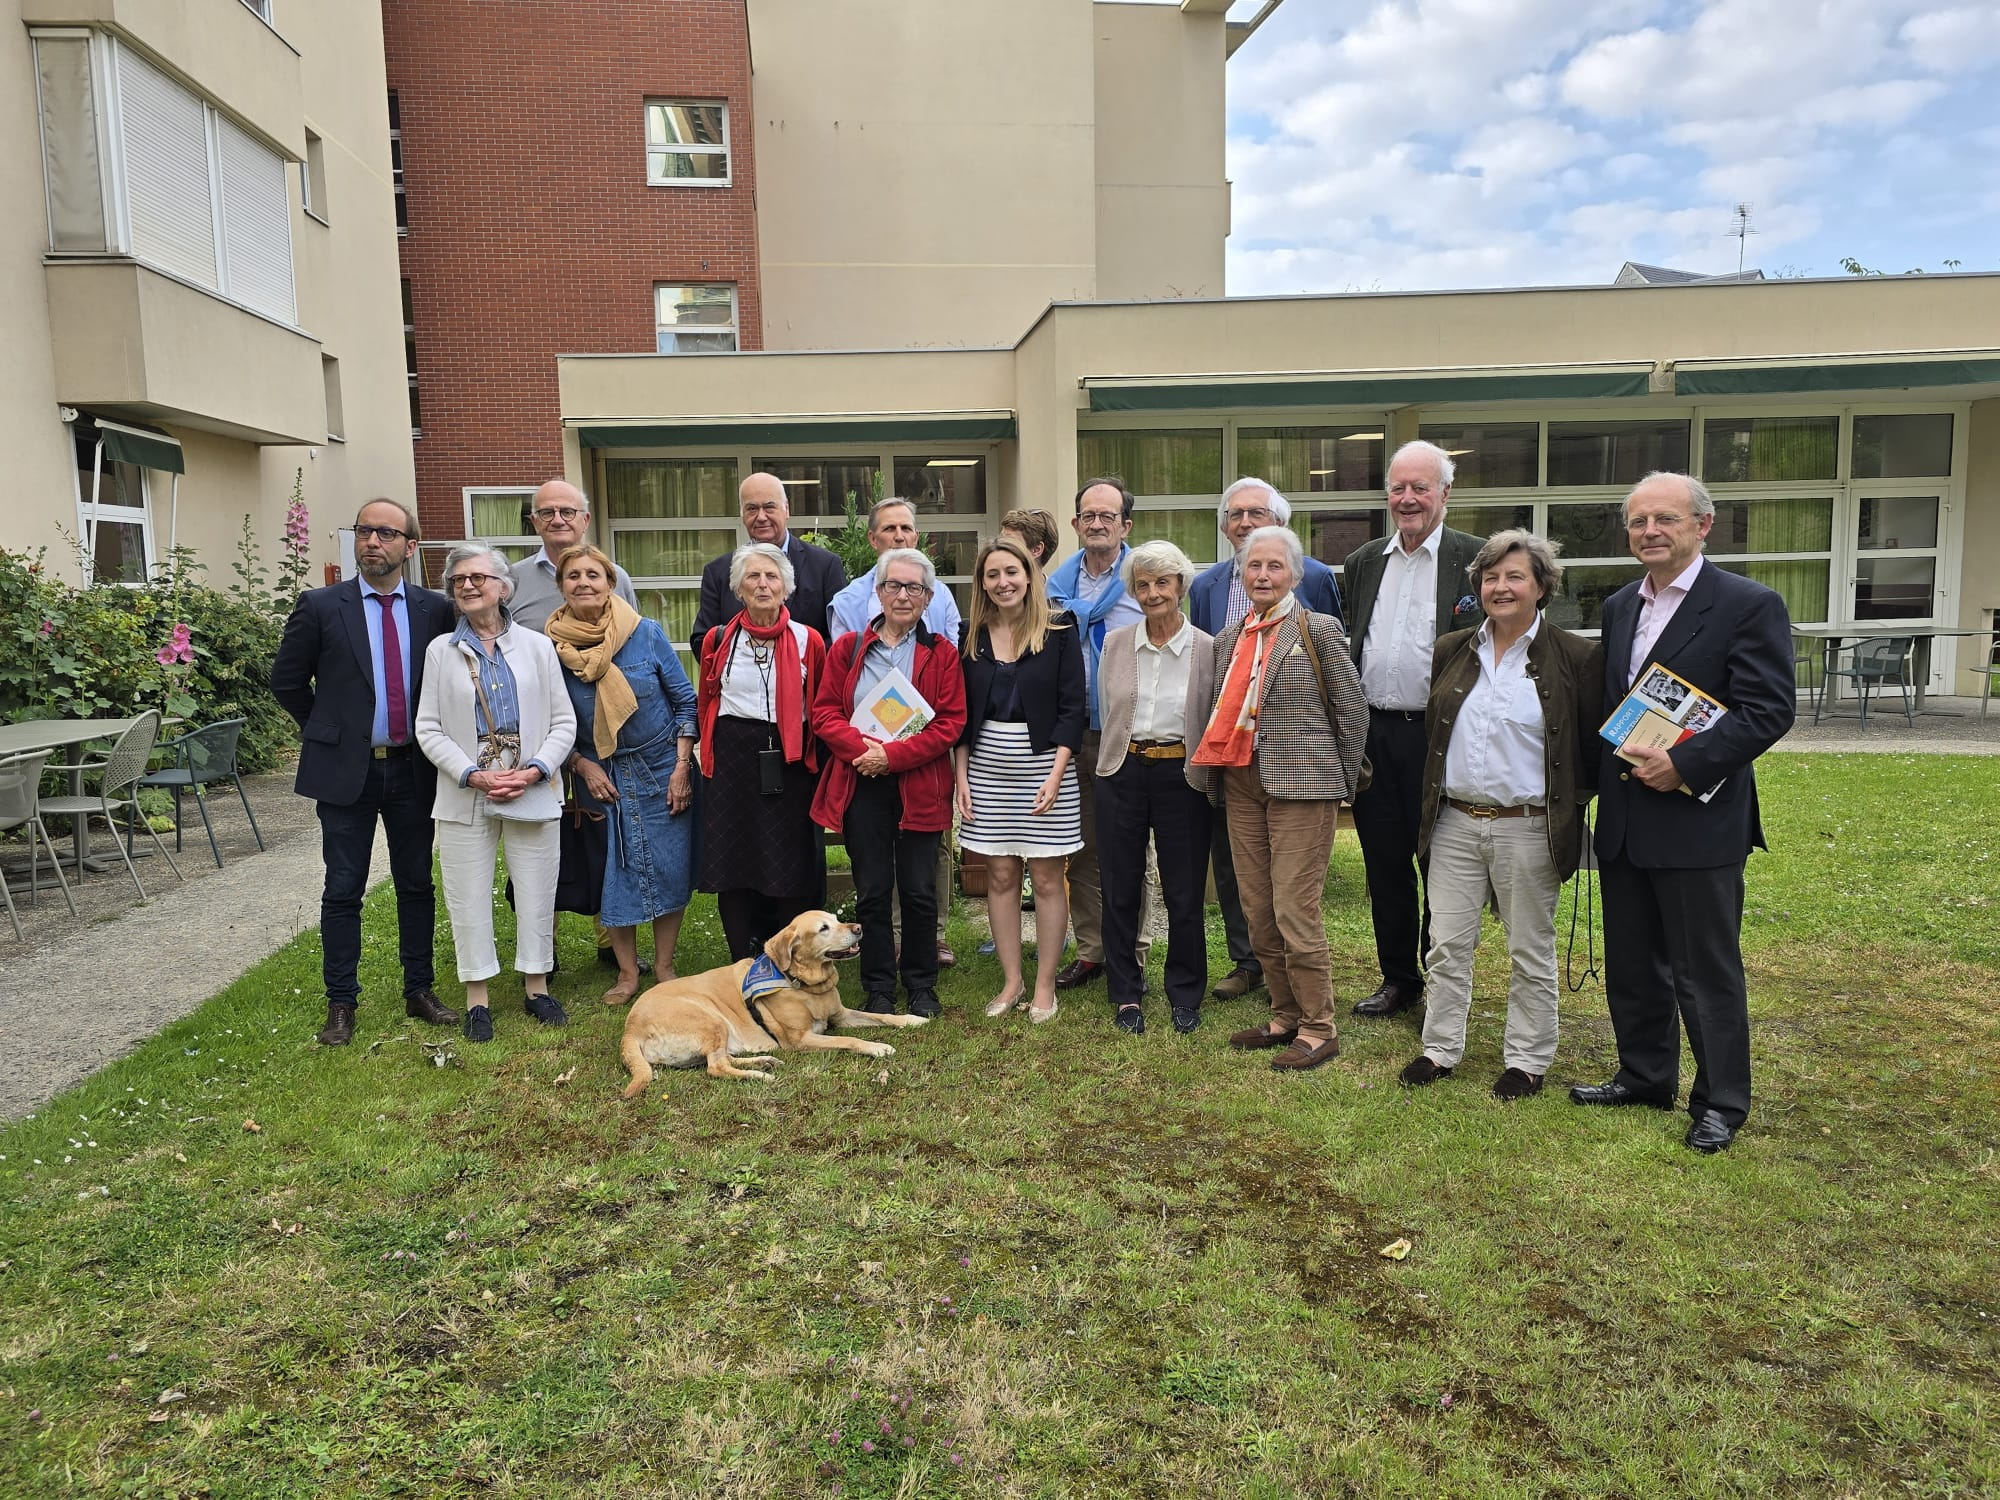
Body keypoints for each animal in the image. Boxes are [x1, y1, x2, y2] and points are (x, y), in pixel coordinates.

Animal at [616, 912, 928, 1096]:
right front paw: (878, 1047)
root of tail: (629, 1029)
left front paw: (912, 1019)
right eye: (823, 928)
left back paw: (764, 1062)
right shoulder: (802, 1040)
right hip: (708, 1018)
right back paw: (758, 1075)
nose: (858, 927)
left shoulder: (840, 1015)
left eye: (837, 919)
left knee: (721, 1059)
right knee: (715, 1067)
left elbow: (881, 1016)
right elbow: (848, 1040)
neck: (802, 983)